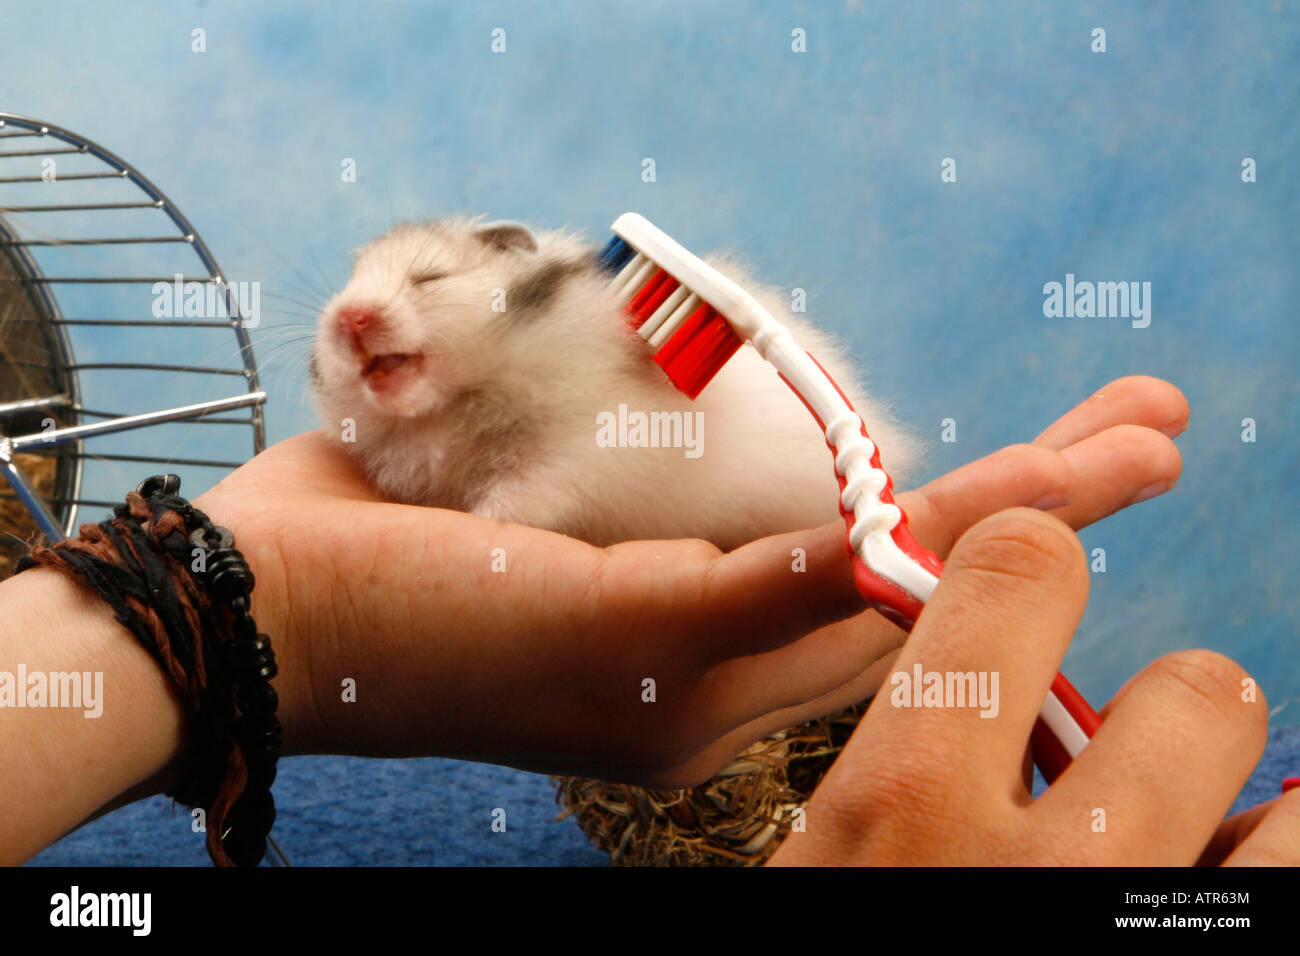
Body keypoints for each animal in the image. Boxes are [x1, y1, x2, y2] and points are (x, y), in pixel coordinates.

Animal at [309, 217, 919, 550]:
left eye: (429, 278)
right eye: (346, 285)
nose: (349, 318)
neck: (460, 402)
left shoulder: (579, 456)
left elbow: (523, 492)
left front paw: (481, 520)